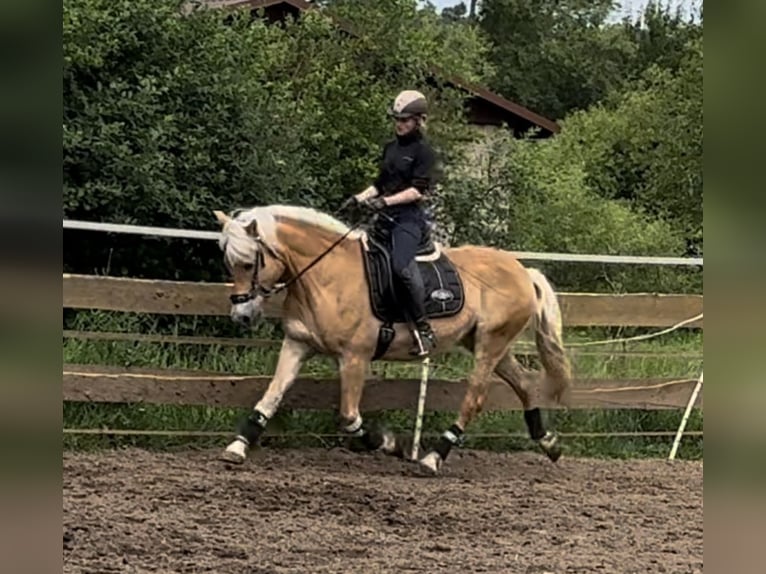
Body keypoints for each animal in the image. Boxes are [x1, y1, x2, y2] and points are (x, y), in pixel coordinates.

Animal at [213, 205, 572, 474]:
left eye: (248, 263)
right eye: (228, 264)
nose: (242, 316)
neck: (326, 274)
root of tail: (522, 270)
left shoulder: (354, 358)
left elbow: (349, 416)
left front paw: (390, 444)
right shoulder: (297, 345)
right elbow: (271, 396)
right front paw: (237, 446)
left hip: (490, 344)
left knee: (475, 399)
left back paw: (433, 457)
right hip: (489, 343)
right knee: (524, 384)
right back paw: (549, 443)